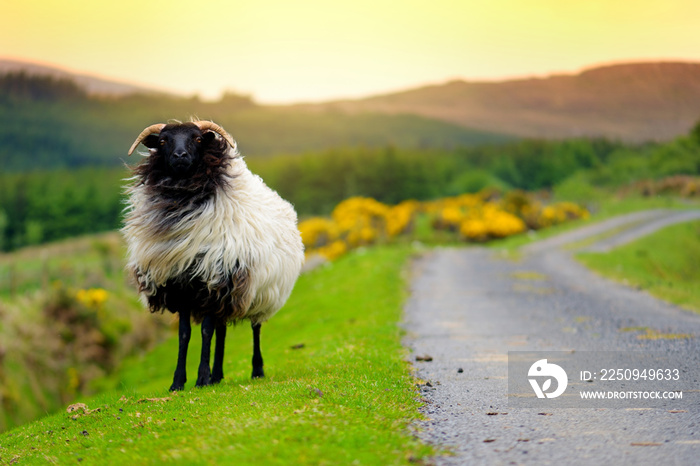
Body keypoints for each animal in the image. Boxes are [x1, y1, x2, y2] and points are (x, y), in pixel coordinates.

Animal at [121, 120, 306, 390]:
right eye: (163, 141)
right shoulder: (181, 286)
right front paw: (178, 382)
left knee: (255, 328)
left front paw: (201, 378)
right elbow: (185, 334)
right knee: (222, 330)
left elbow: (206, 331)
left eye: (198, 139)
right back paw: (218, 374)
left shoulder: (213, 281)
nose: (180, 156)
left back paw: (256, 370)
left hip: (261, 291)